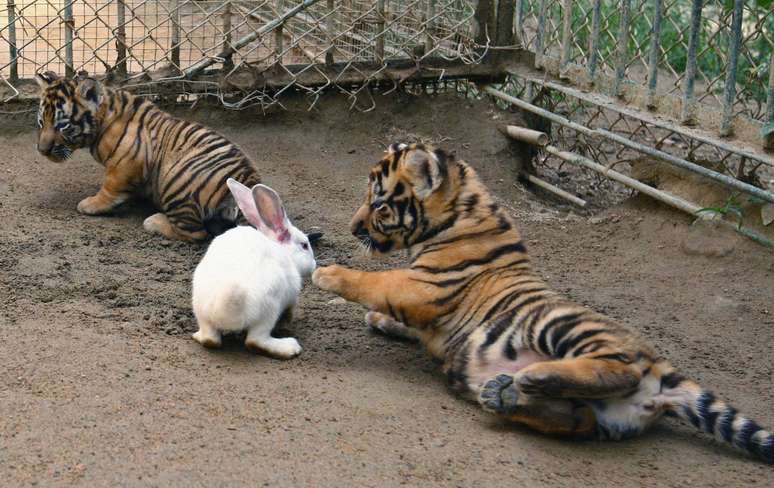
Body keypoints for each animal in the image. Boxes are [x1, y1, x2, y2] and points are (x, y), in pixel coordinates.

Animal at [192, 179, 316, 358]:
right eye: (305, 245)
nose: (314, 265)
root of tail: (225, 311)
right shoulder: (291, 297)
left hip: (201, 312)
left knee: (210, 339)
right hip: (271, 308)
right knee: (255, 341)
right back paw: (289, 347)